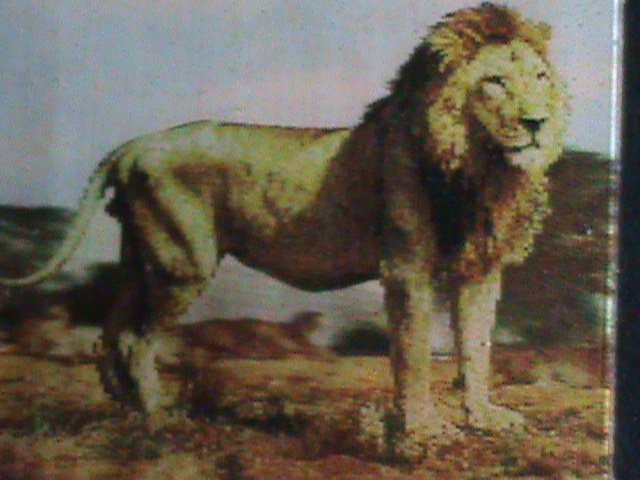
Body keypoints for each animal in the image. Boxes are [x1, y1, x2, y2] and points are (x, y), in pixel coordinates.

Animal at [0, 3, 567, 451]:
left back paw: (123, 408)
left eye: (541, 80)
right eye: (495, 82)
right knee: (137, 341)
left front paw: (485, 418)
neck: (481, 167)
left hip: (142, 261)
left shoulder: (481, 271)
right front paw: (421, 430)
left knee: (110, 334)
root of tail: (134, 143)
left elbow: (477, 347)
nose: (538, 123)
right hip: (183, 265)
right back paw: (160, 416)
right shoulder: (406, 269)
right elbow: (414, 354)